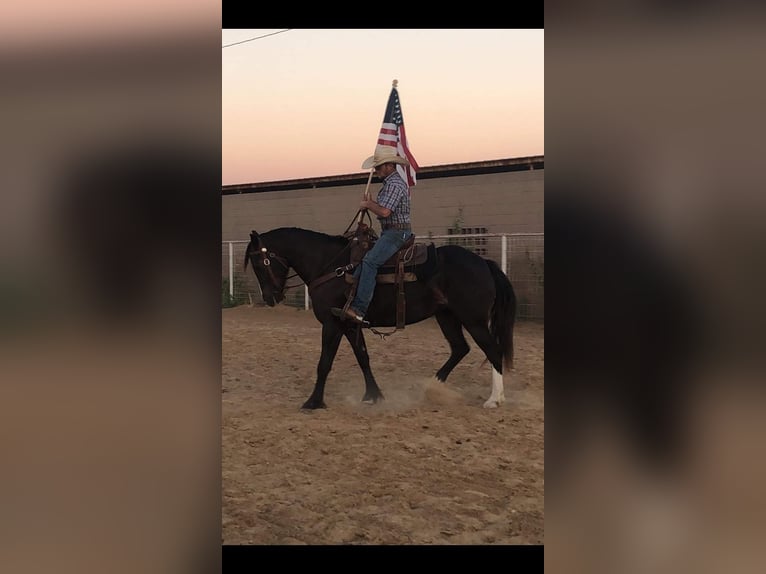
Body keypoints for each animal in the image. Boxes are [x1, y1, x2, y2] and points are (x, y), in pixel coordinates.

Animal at [246, 227, 520, 412]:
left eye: (260, 263)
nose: (270, 298)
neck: (331, 266)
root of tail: (483, 262)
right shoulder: (350, 324)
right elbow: (363, 358)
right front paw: (373, 395)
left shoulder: (332, 324)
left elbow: (324, 363)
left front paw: (313, 402)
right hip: (447, 316)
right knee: (460, 348)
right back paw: (432, 386)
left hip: (473, 320)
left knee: (493, 351)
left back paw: (494, 399)